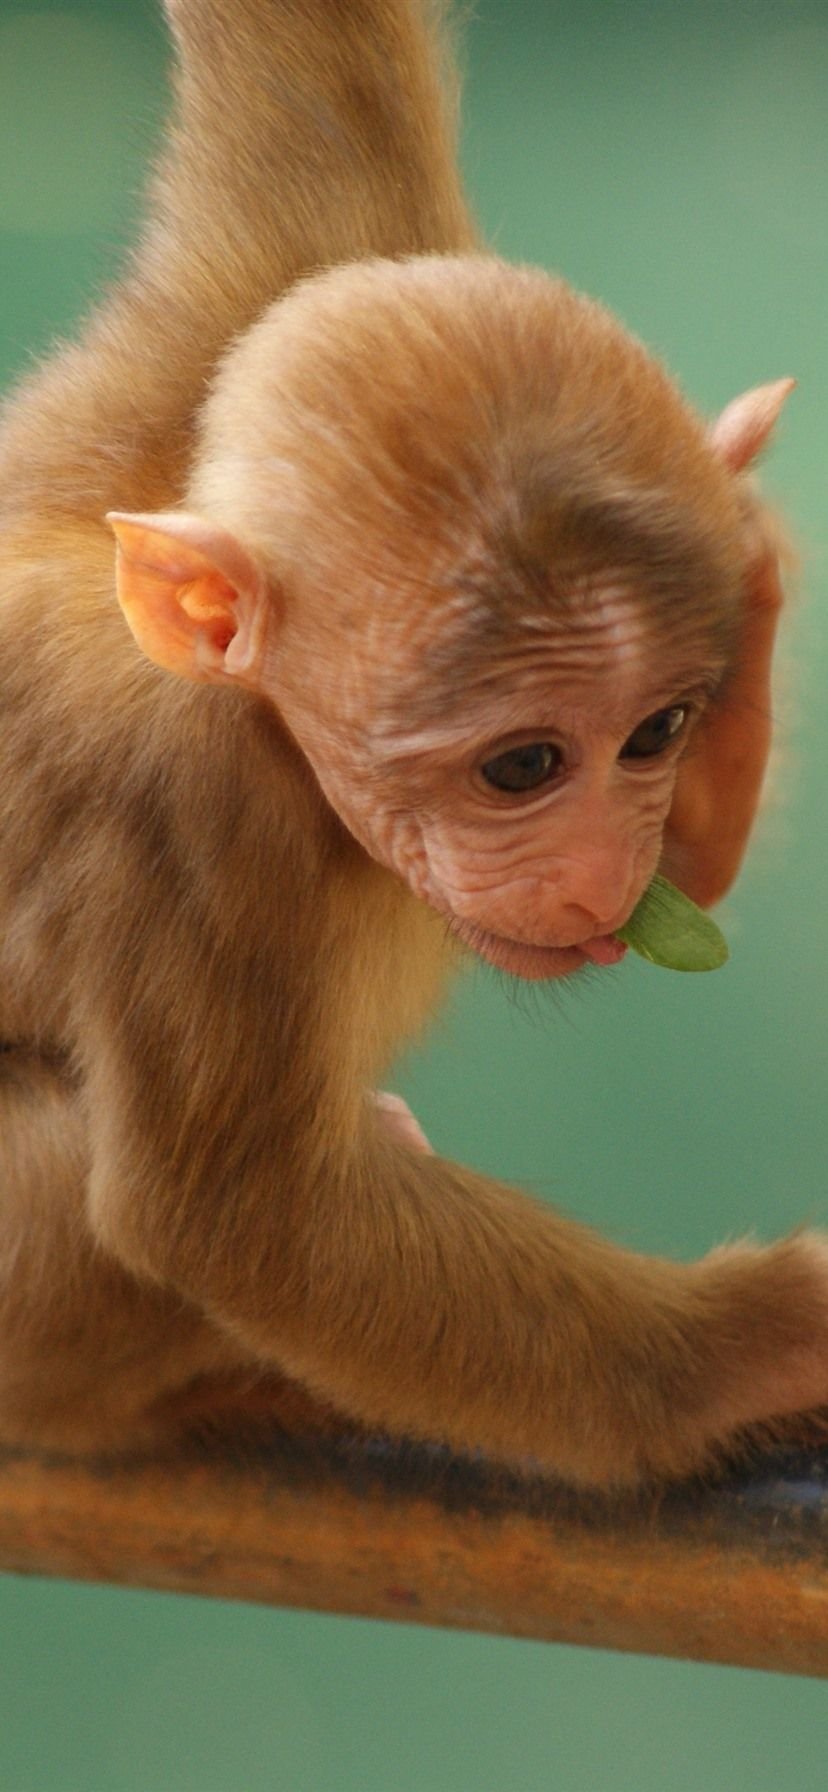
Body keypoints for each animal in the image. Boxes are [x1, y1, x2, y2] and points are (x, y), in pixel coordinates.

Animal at [0, 0, 825, 1492]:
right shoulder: (190, 820)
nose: (600, 870)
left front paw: (748, 532)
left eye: (659, 733)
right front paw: (762, 1347)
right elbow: (243, 1218)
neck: (277, 730)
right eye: (522, 767)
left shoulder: (255, 306)